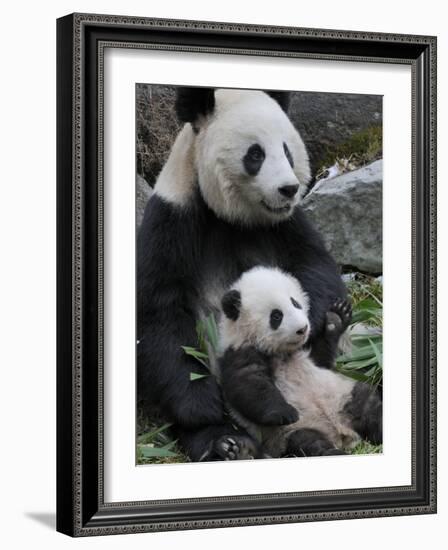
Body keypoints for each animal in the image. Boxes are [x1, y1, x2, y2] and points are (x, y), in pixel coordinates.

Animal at [138, 88, 348, 464]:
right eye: (256, 154)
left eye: (287, 149)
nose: (289, 188)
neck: (232, 216)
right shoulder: (173, 218)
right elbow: (160, 311)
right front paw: (203, 407)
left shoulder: (286, 224)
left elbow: (315, 264)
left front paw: (316, 323)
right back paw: (228, 444)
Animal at [218, 268, 382, 462]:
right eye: (276, 315)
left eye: (295, 303)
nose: (303, 329)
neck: (282, 351)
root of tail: (342, 435)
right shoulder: (239, 351)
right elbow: (249, 385)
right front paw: (285, 412)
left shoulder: (309, 354)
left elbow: (323, 359)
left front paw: (336, 318)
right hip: (294, 432)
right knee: (310, 443)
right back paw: (332, 452)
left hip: (343, 395)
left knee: (368, 407)